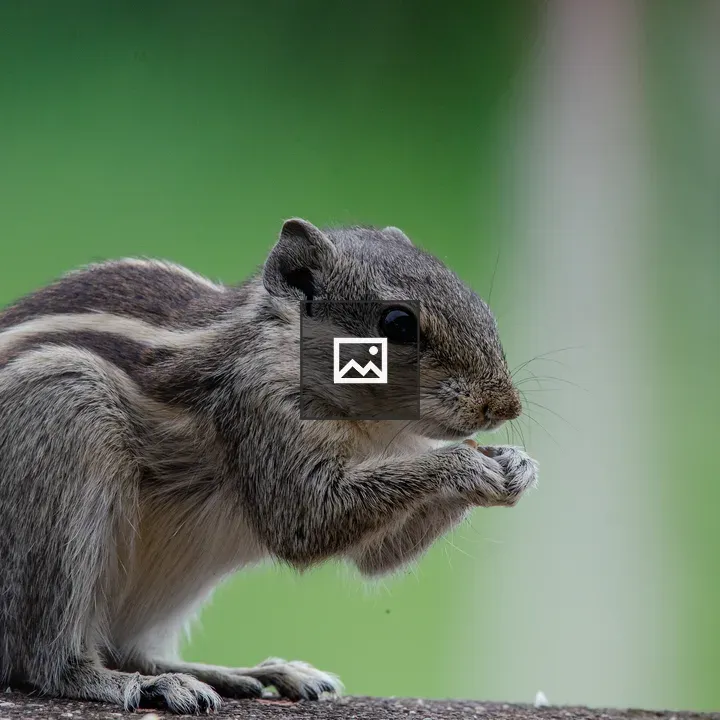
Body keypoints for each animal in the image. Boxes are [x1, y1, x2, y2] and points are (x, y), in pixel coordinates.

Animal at [0, 218, 537, 713]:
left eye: (477, 303)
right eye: (398, 323)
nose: (505, 407)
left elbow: (377, 557)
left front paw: (518, 466)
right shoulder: (261, 412)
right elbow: (305, 518)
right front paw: (464, 464)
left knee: (132, 651)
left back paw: (243, 673)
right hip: (65, 412)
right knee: (47, 660)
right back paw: (131, 683)